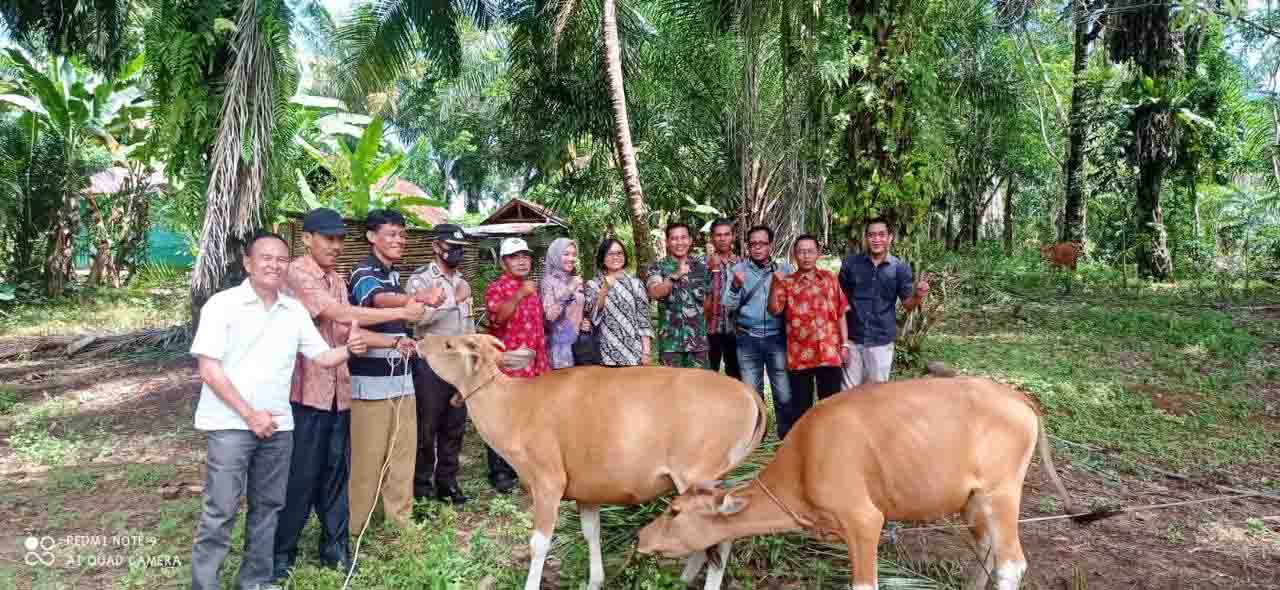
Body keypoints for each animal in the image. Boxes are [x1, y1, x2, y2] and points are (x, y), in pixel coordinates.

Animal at [637, 376, 1070, 588]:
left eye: (673, 510)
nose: (641, 536)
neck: (804, 461)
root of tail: (1019, 399)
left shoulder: (864, 521)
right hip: (974, 500)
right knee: (986, 549)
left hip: (1002, 493)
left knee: (1011, 564)